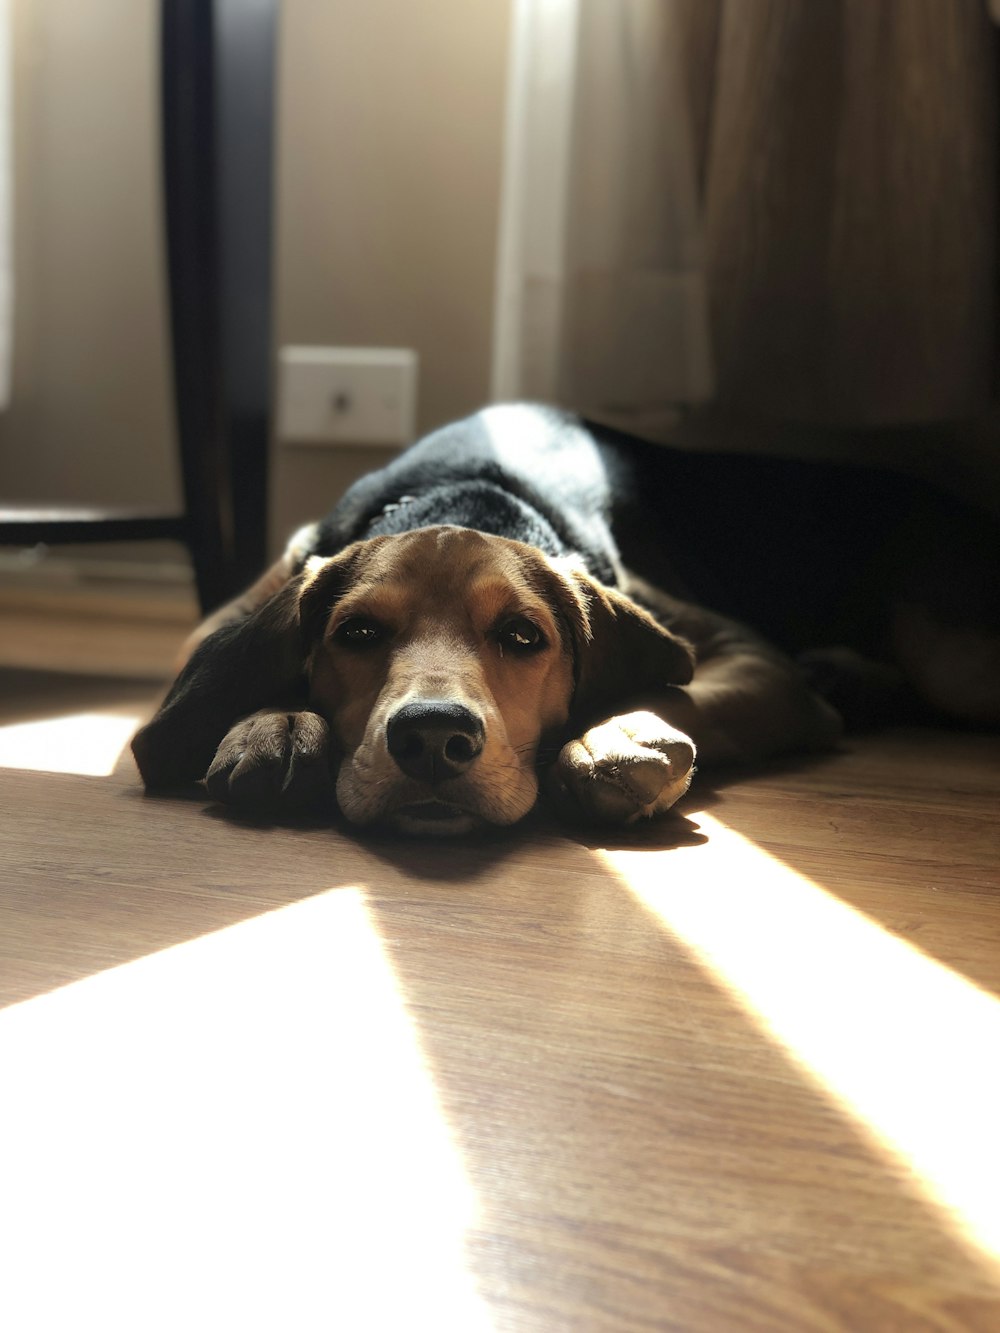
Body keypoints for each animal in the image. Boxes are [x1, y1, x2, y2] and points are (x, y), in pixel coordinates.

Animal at [133, 402, 1000, 831]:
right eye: (358, 634)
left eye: (524, 636)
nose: (433, 739)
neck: (470, 490)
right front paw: (273, 722)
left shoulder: (748, 653)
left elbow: (676, 690)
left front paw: (611, 737)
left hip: (951, 652)